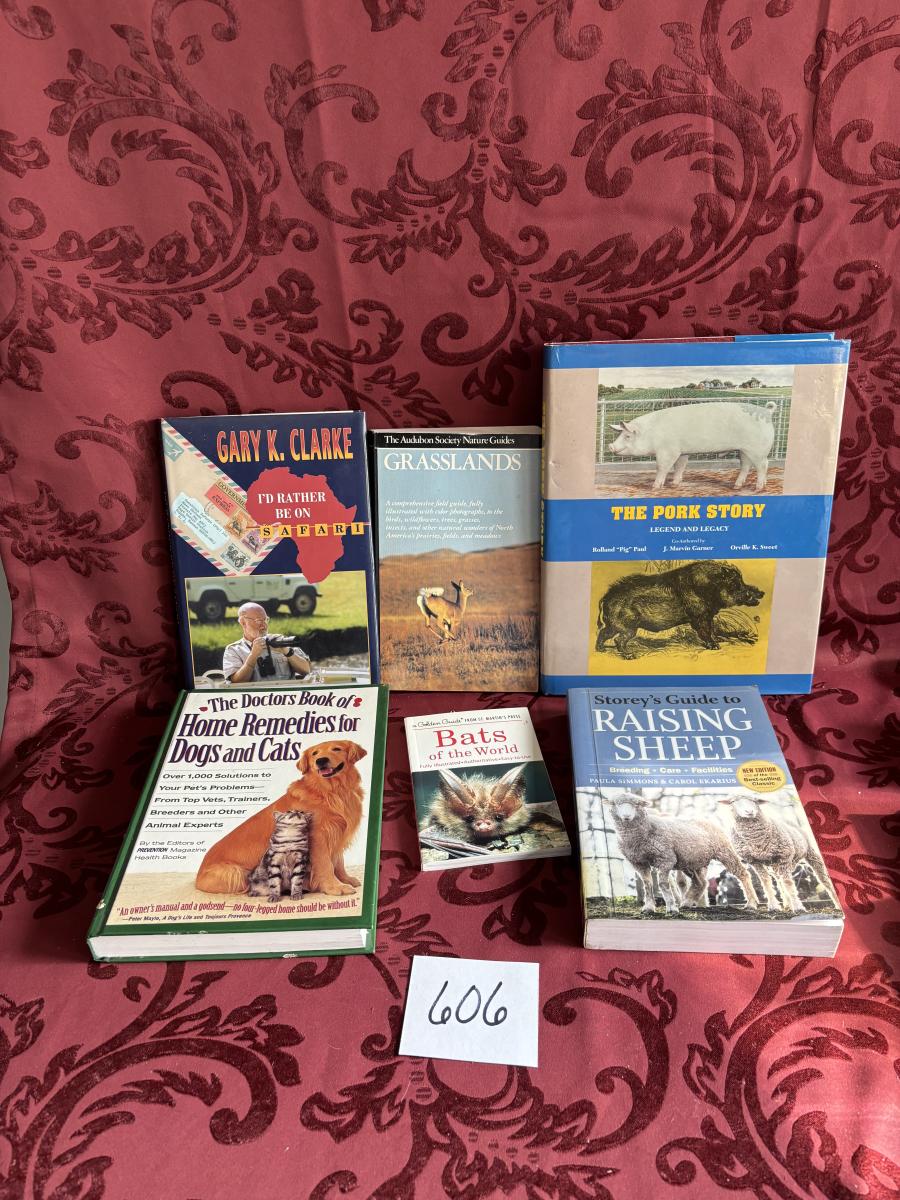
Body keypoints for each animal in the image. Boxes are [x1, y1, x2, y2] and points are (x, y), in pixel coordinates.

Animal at [195, 740, 366, 897]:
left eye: (336, 749)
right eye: (314, 753)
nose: (321, 760)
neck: (330, 791)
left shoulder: (337, 833)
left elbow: (339, 862)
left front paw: (346, 879)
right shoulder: (318, 837)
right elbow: (326, 864)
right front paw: (335, 887)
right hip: (238, 874)